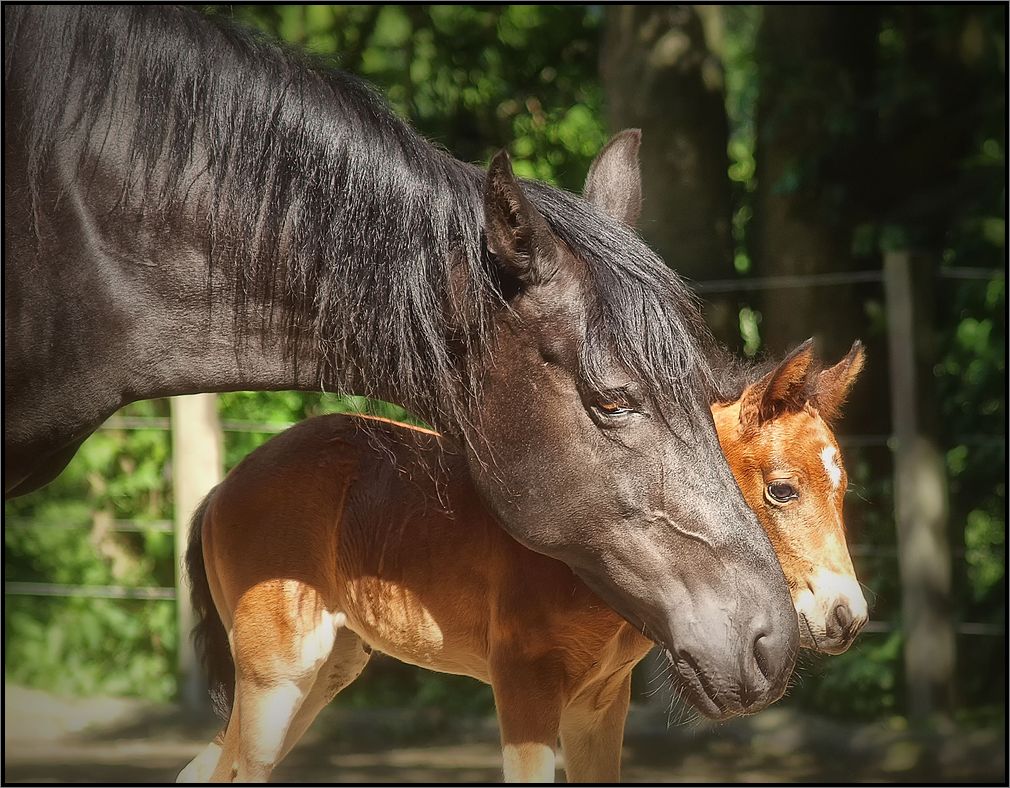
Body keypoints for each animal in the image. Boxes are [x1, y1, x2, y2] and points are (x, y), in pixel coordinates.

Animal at [177, 339, 864, 779]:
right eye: (782, 489)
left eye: (843, 490)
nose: (846, 616)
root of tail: (221, 491)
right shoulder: (524, 686)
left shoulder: (599, 705)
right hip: (277, 671)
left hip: (324, 671)